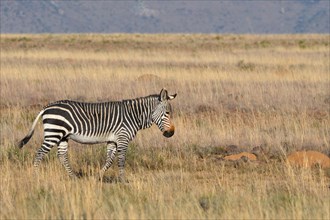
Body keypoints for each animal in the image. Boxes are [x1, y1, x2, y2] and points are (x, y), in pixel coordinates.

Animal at [16, 88, 177, 181]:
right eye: (167, 113)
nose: (171, 133)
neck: (133, 116)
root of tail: (46, 107)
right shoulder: (123, 138)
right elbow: (121, 160)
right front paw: (123, 180)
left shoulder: (113, 140)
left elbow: (109, 160)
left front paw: (97, 176)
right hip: (53, 133)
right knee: (40, 153)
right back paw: (36, 176)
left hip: (63, 136)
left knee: (62, 156)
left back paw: (74, 178)